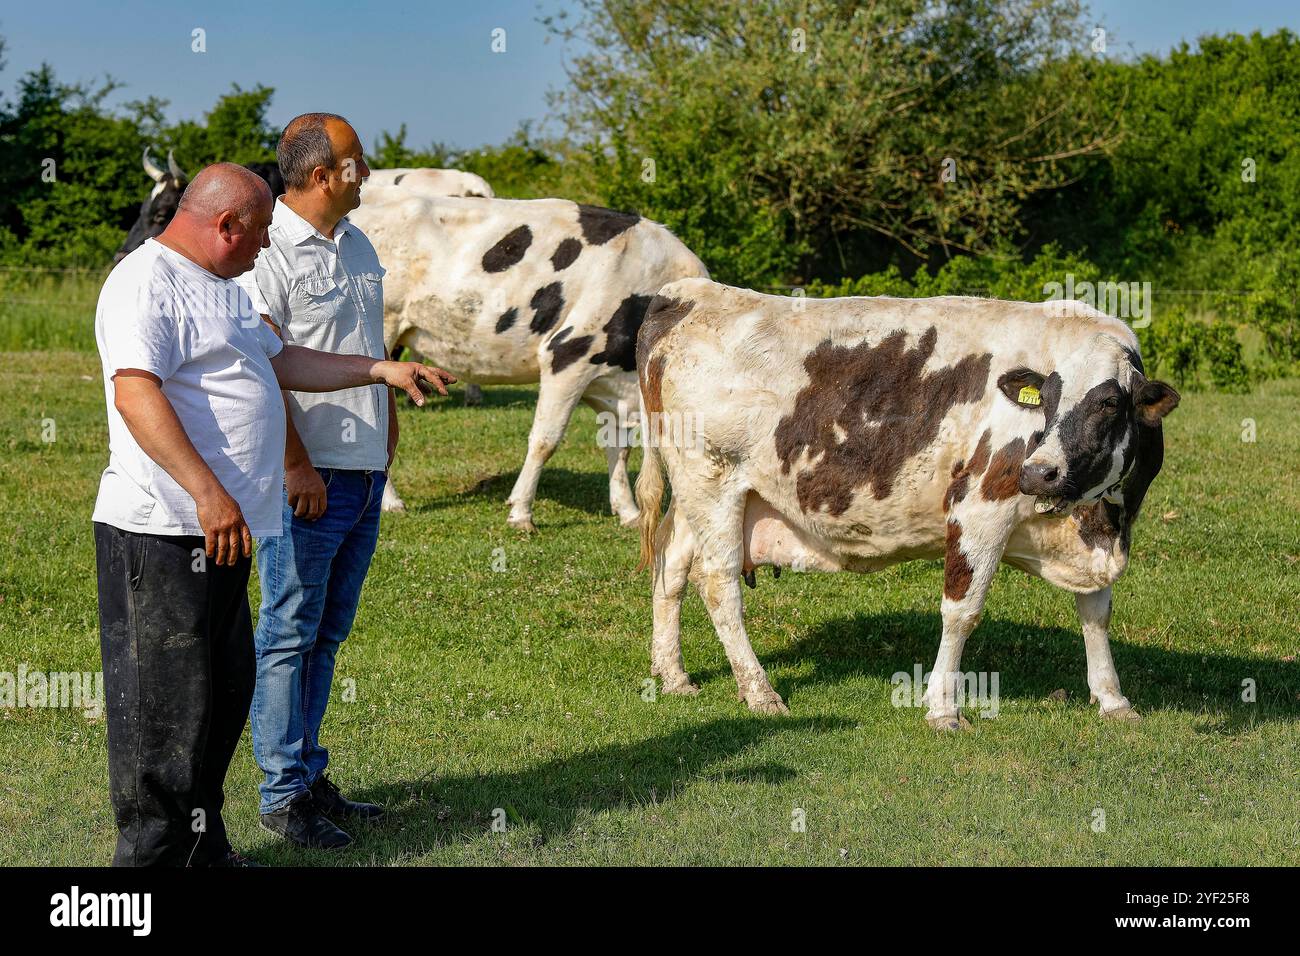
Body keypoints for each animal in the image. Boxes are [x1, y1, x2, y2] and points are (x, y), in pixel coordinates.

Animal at [345, 192, 712, 530]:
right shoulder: (567, 356)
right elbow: (545, 440)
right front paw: (521, 512)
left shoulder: (616, 385)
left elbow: (618, 446)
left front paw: (627, 511)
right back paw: (391, 502)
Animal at [634, 280, 1185, 728]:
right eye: (1045, 401)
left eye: (1108, 403)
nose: (1036, 473)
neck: (1104, 523)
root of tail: (690, 293)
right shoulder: (979, 509)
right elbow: (962, 611)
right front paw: (942, 708)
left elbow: (1096, 613)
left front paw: (1112, 699)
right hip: (712, 482)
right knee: (718, 585)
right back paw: (760, 692)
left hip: (696, 494)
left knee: (671, 565)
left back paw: (673, 675)